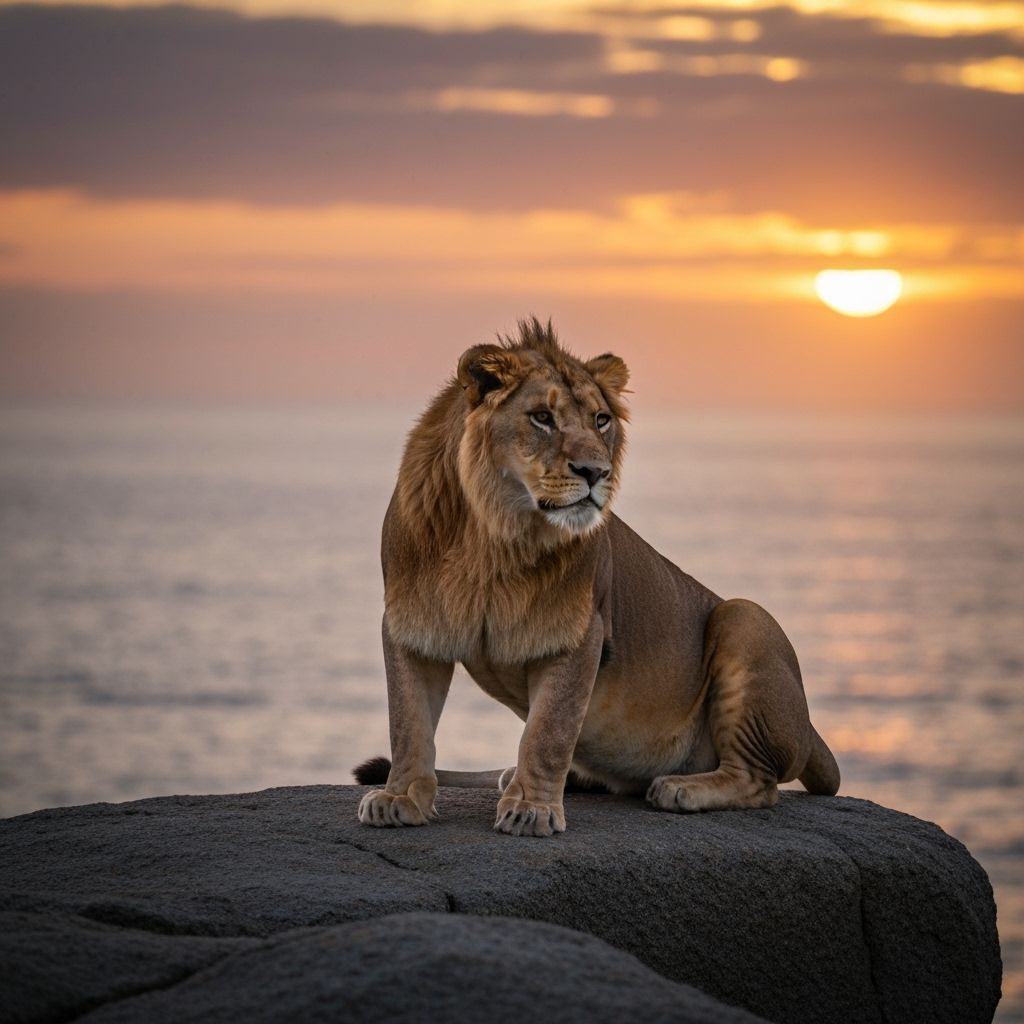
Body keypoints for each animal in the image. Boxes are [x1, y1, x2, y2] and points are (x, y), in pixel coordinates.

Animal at [356, 318, 839, 837]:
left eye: (601, 420)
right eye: (542, 417)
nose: (596, 472)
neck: (493, 534)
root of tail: (810, 731)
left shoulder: (579, 633)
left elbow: (548, 731)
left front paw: (532, 809)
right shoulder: (412, 622)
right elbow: (408, 721)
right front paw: (398, 798)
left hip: (745, 615)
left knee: (759, 781)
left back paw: (680, 788)